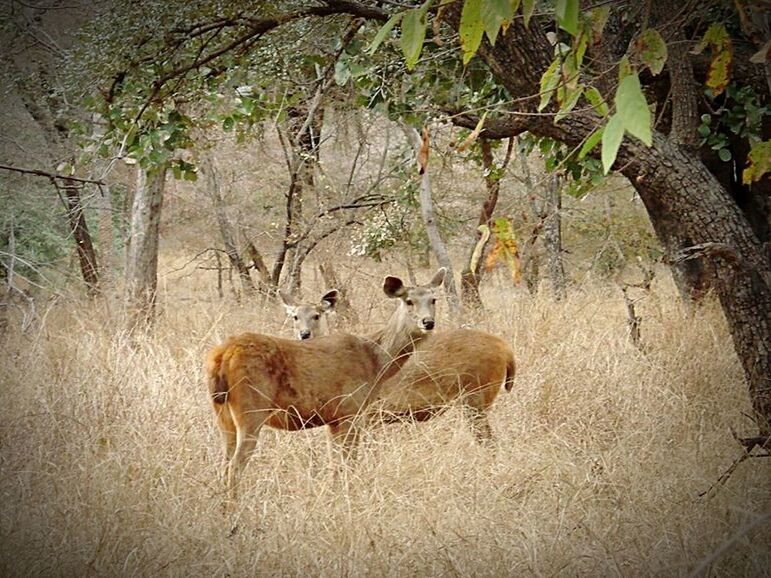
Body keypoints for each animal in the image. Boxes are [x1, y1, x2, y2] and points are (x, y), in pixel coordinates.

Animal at [207, 266, 446, 496]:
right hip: (251, 409)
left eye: (433, 299)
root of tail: (222, 355)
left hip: (223, 413)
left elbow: (334, 465)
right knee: (234, 466)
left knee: (224, 463)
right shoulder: (351, 410)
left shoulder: (333, 419)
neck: (376, 361)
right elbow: (349, 463)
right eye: (409, 301)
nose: (428, 322)